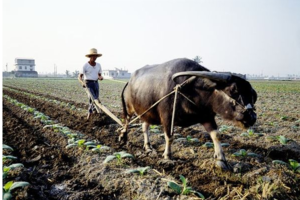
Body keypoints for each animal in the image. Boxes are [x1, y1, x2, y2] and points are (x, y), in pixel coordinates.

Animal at [120, 57, 256, 169]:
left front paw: (221, 159)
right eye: (234, 90)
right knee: (126, 121)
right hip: (129, 108)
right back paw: (123, 136)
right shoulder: (167, 118)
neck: (193, 90)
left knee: (145, 127)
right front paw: (167, 156)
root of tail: (130, 81)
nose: (252, 117)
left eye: (252, 94)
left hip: (146, 112)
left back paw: (148, 146)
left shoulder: (207, 117)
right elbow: (169, 137)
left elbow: (216, 135)